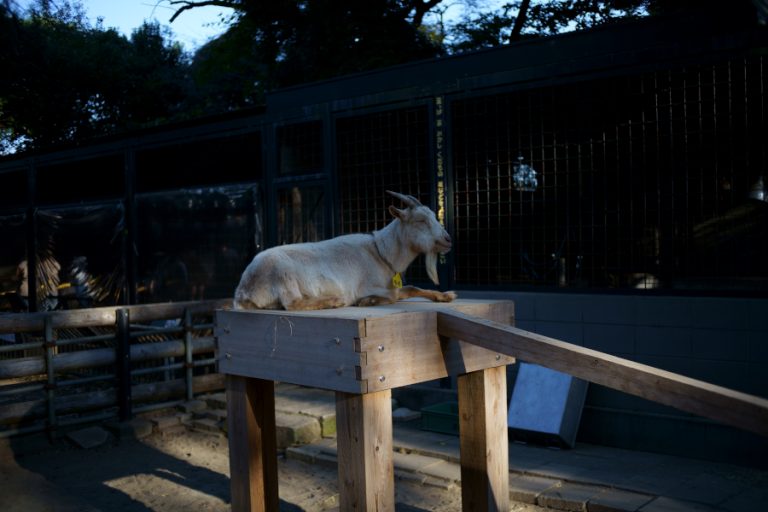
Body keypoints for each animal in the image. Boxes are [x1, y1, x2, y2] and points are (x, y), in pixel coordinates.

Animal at [234, 190, 456, 310]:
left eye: (433, 216)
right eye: (420, 221)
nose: (448, 240)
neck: (380, 252)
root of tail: (242, 291)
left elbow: (411, 288)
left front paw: (446, 295)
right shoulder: (366, 286)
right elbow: (397, 293)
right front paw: (367, 301)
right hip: (282, 274)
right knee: (292, 303)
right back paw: (335, 300)